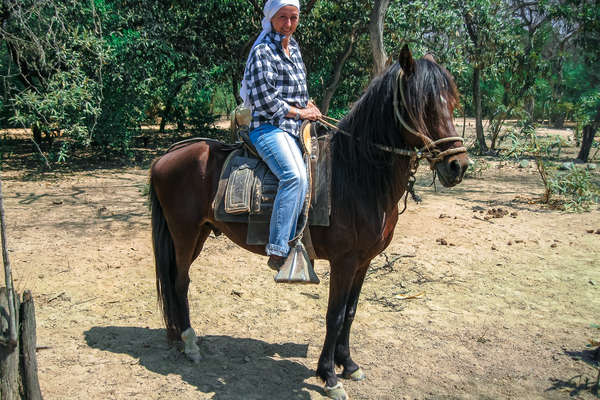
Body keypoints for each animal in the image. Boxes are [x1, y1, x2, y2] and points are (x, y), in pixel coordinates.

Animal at [149, 46, 468, 396]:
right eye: (422, 104)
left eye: (451, 103)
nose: (458, 165)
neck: (356, 176)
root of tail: (167, 156)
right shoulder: (344, 262)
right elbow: (335, 315)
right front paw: (329, 376)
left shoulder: (364, 261)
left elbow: (351, 312)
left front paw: (349, 365)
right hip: (184, 233)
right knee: (180, 281)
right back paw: (190, 344)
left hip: (200, 233)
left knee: (176, 280)